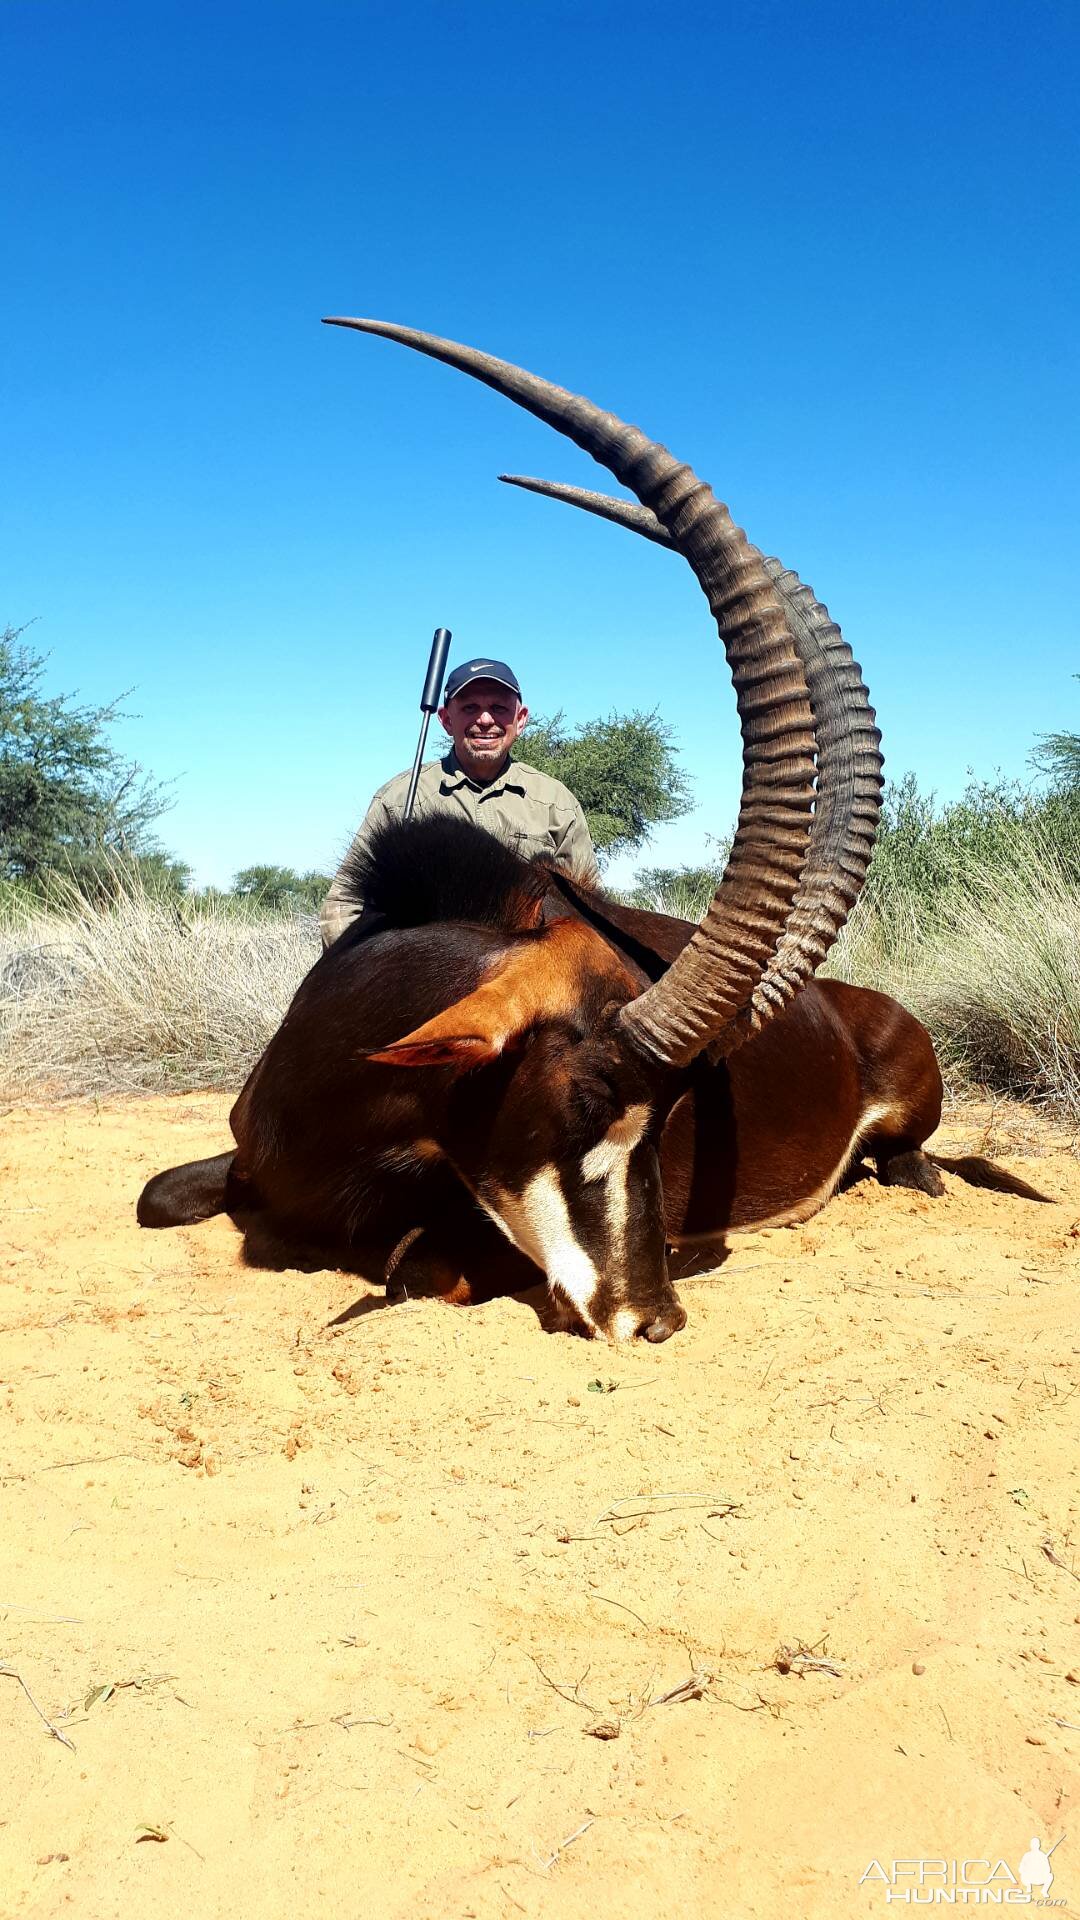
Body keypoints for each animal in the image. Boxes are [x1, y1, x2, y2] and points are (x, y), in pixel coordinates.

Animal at [136, 322, 1045, 1336]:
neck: (338, 1089)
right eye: (585, 1099)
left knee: (915, 1165)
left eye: (669, 1116)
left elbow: (415, 1269)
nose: (653, 1315)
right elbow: (156, 1196)